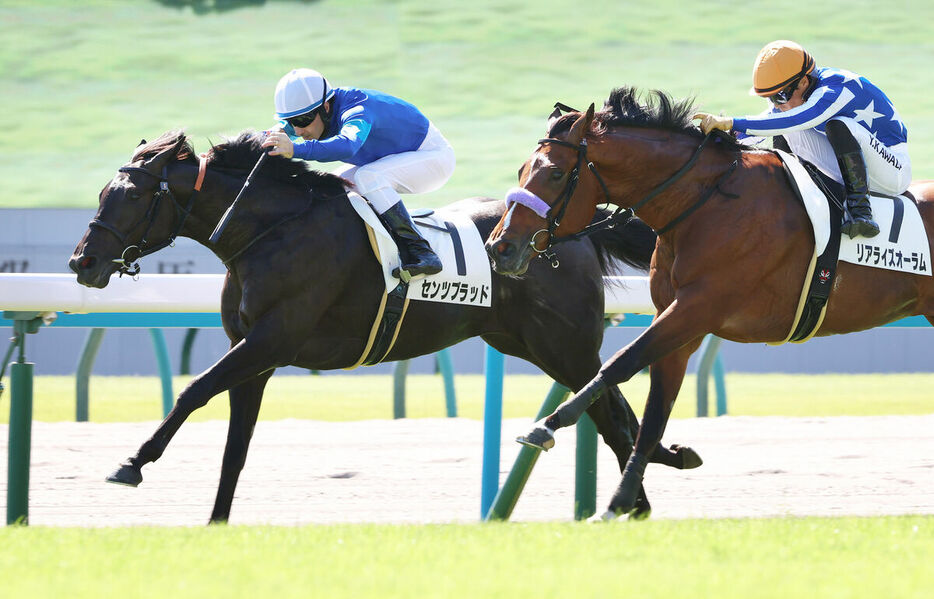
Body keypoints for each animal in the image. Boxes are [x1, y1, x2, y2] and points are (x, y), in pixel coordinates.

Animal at [69, 129, 700, 524]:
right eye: (102, 192)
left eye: (131, 196)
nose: (82, 263)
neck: (271, 230)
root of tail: (569, 229)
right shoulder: (256, 355)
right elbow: (235, 448)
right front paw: (216, 522)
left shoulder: (272, 338)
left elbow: (193, 390)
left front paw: (131, 464)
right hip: (531, 345)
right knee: (610, 410)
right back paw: (649, 484)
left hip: (565, 346)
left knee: (611, 411)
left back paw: (638, 497)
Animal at [486, 85, 934, 520]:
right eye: (522, 171)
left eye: (556, 173)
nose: (499, 247)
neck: (705, 202)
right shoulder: (681, 325)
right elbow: (653, 413)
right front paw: (621, 501)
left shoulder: (698, 308)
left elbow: (621, 362)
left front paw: (548, 425)